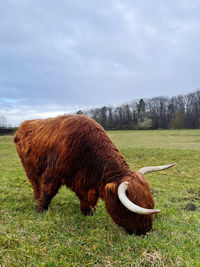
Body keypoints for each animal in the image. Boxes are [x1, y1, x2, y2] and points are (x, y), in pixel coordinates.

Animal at [14, 114, 174, 236]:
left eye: (150, 203)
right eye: (131, 212)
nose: (145, 231)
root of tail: (24, 124)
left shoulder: (83, 180)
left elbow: (83, 198)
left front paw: (87, 212)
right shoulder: (53, 173)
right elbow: (48, 191)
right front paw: (40, 209)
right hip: (29, 167)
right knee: (35, 182)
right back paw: (36, 196)